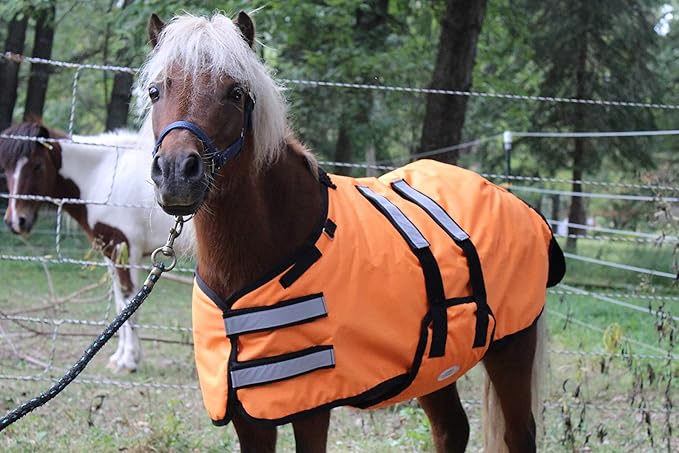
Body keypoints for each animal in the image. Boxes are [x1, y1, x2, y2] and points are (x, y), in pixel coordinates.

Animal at [0, 121, 193, 372]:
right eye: (6, 168)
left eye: (37, 166)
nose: (16, 221)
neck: (103, 174)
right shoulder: (111, 254)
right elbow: (122, 305)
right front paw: (120, 358)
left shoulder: (124, 251)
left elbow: (128, 303)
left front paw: (128, 361)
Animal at [140, 11, 565, 452]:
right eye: (155, 91)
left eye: (235, 92)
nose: (176, 173)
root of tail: (507, 195)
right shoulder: (248, 414)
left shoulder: (311, 407)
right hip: (435, 361)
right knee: (451, 428)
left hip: (511, 348)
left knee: (518, 433)